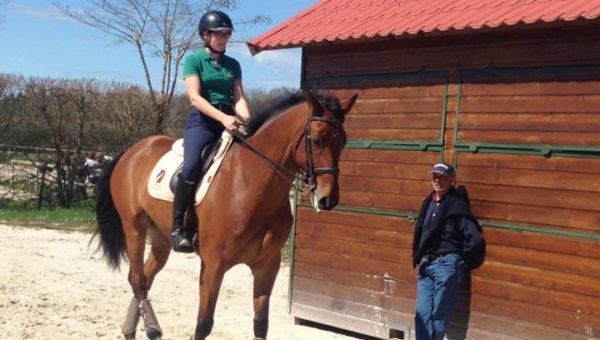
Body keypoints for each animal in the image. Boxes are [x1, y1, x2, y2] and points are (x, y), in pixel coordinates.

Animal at [94, 91, 356, 340]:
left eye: (343, 142)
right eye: (318, 140)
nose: (328, 198)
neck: (248, 184)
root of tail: (132, 151)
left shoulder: (267, 266)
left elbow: (261, 325)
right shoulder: (213, 266)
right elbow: (203, 325)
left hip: (160, 237)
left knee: (146, 279)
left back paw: (131, 330)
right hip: (134, 228)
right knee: (137, 279)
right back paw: (152, 329)